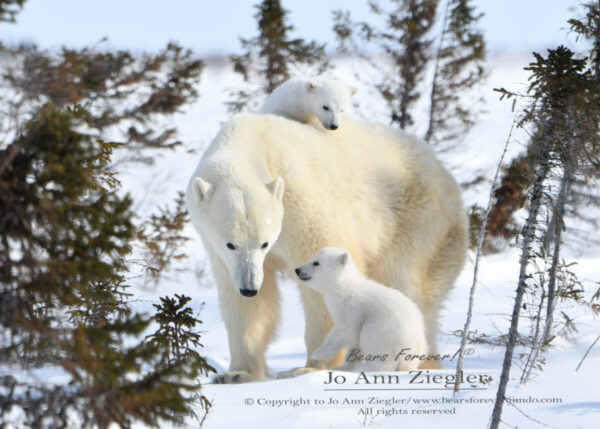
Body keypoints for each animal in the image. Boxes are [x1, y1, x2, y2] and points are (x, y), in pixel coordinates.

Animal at [296, 247, 426, 372]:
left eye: (316, 263)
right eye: (311, 258)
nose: (297, 270)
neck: (343, 286)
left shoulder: (352, 307)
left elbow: (346, 330)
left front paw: (318, 353)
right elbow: (355, 343)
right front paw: (343, 367)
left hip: (387, 330)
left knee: (373, 338)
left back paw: (368, 367)